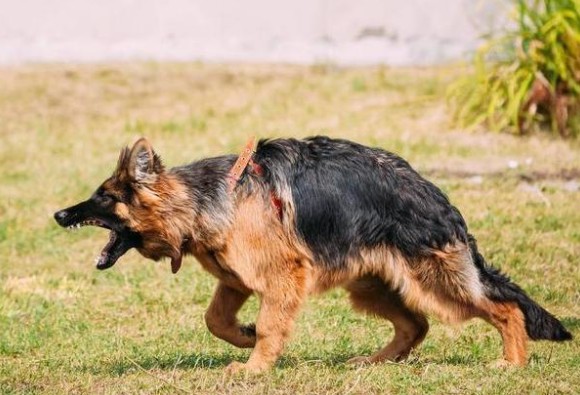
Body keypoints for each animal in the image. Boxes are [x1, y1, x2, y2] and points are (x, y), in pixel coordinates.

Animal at [54, 137, 572, 374]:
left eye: (103, 197)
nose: (59, 214)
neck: (204, 200)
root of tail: (434, 195)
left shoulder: (280, 278)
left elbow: (268, 325)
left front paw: (255, 368)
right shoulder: (236, 279)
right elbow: (215, 320)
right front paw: (243, 338)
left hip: (433, 280)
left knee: (503, 308)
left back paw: (512, 362)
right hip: (369, 284)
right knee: (415, 324)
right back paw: (376, 362)